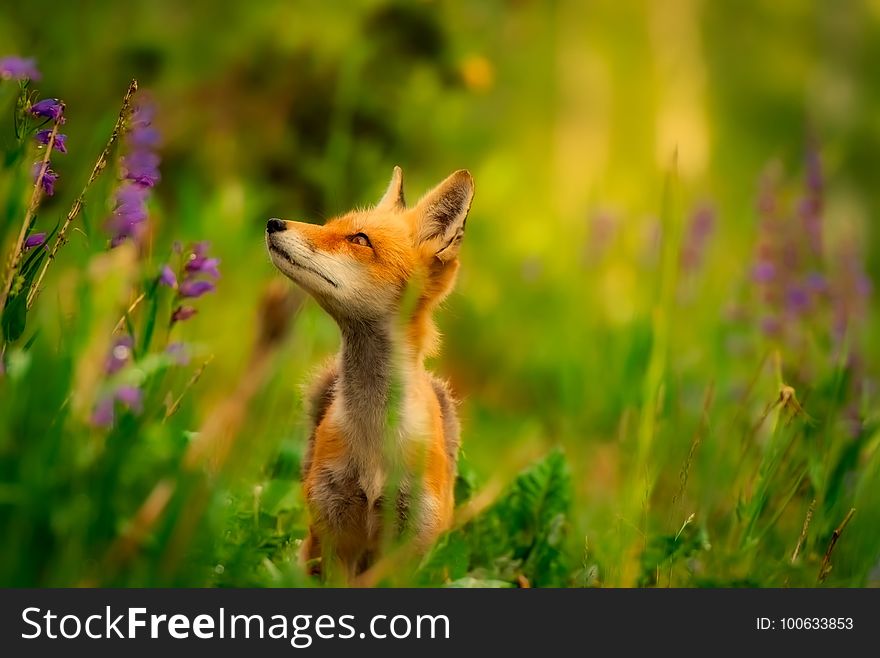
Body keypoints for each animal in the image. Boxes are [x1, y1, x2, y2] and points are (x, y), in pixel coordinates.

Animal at [264, 167, 474, 576]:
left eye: (359, 240)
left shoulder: (409, 543)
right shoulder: (334, 532)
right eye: (329, 225)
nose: (273, 222)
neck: (374, 441)